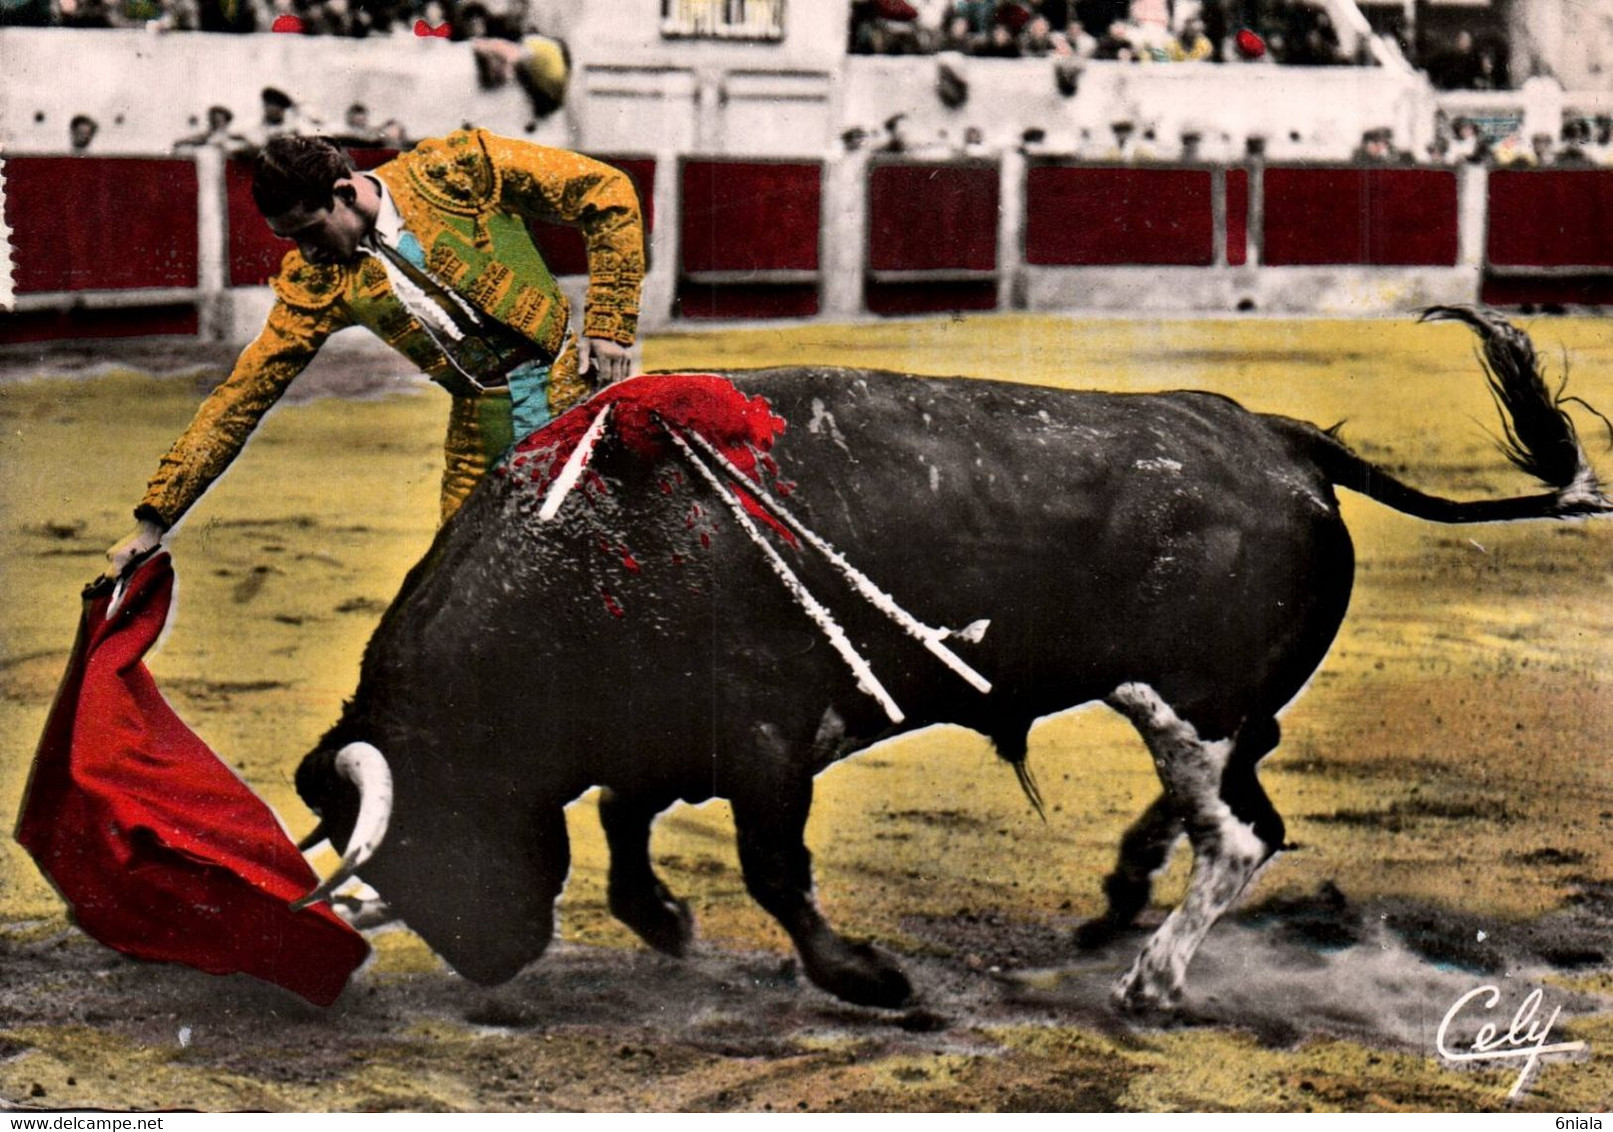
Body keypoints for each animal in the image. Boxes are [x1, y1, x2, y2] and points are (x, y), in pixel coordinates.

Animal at [296, 307, 1606, 1012]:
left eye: (435, 826)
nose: (492, 958)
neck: (595, 548)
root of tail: (1277, 436)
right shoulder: (670, 736)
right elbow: (626, 828)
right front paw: (664, 921)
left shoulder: (768, 745)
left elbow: (772, 869)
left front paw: (868, 978)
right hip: (1209, 709)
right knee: (1233, 811)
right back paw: (1118, 903)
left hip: (1189, 702)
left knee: (1239, 835)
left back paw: (1147, 981)